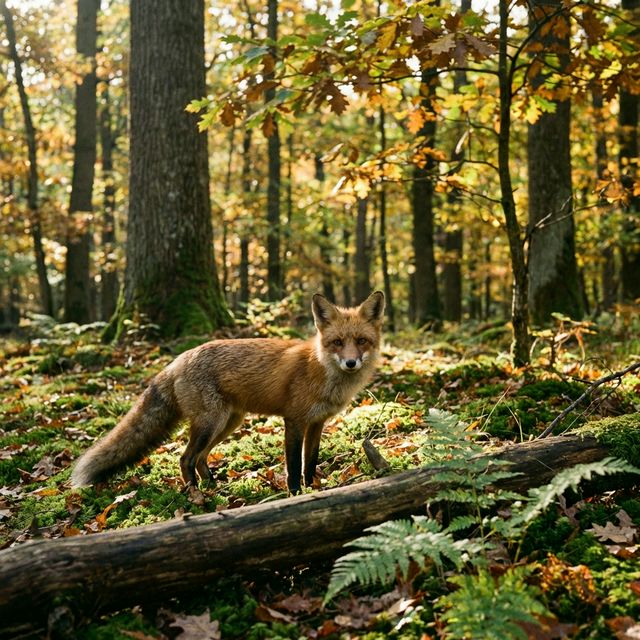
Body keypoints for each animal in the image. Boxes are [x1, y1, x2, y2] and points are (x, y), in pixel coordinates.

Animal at [71, 291, 385, 494]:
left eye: (361, 341)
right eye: (337, 342)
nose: (351, 362)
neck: (321, 371)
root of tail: (177, 360)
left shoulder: (317, 422)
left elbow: (311, 461)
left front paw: (315, 489)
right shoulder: (294, 421)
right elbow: (294, 465)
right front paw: (296, 494)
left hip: (228, 423)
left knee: (200, 459)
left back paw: (213, 486)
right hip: (211, 423)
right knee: (185, 458)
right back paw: (196, 496)